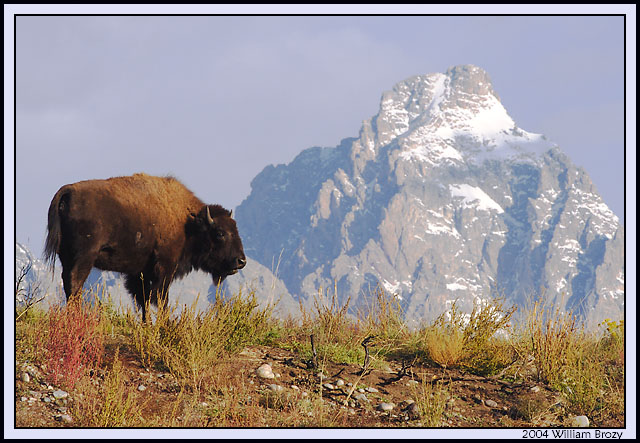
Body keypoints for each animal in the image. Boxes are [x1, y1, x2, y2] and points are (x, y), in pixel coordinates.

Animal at [44, 173, 246, 320]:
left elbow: (144, 300)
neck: (188, 222)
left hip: (67, 256)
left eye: (236, 228)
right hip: (85, 256)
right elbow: (160, 299)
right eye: (220, 233)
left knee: (68, 283)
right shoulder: (164, 268)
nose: (241, 261)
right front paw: (165, 324)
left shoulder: (140, 273)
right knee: (75, 283)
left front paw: (146, 324)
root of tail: (69, 191)